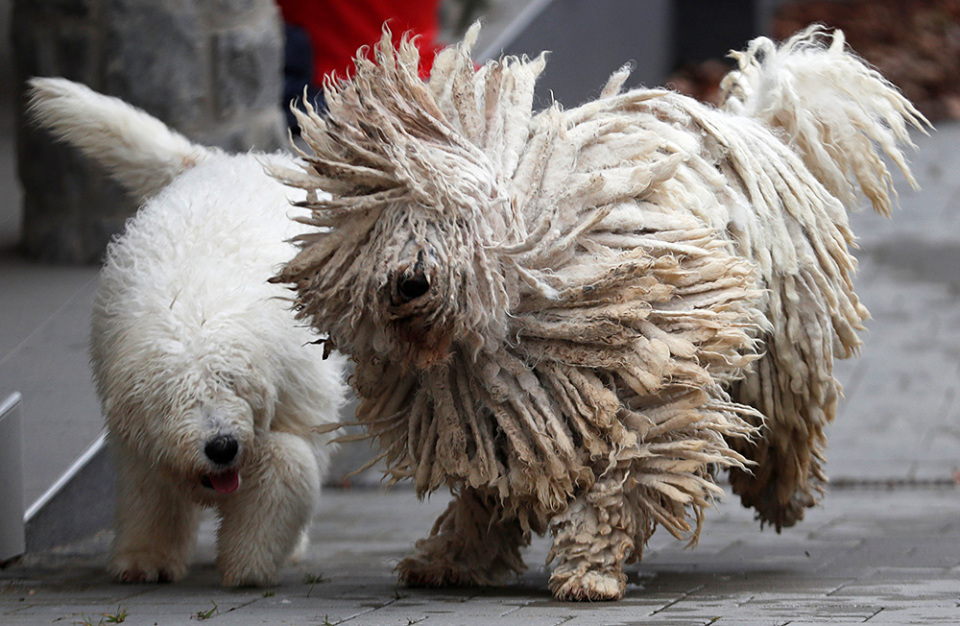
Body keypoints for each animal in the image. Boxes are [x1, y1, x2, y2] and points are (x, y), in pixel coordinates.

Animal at [28, 78, 347, 587]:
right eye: (174, 398)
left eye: (231, 385)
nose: (221, 447)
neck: (194, 310)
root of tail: (225, 160)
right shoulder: (136, 428)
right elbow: (149, 486)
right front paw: (146, 559)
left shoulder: (297, 397)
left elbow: (287, 465)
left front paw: (248, 562)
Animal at [271, 25, 927, 601]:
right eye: (381, 221)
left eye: (448, 213)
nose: (410, 280)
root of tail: (759, 126)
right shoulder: (490, 408)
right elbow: (491, 483)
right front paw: (455, 557)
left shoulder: (650, 356)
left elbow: (633, 466)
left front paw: (590, 568)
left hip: (787, 333)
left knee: (789, 414)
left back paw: (784, 494)